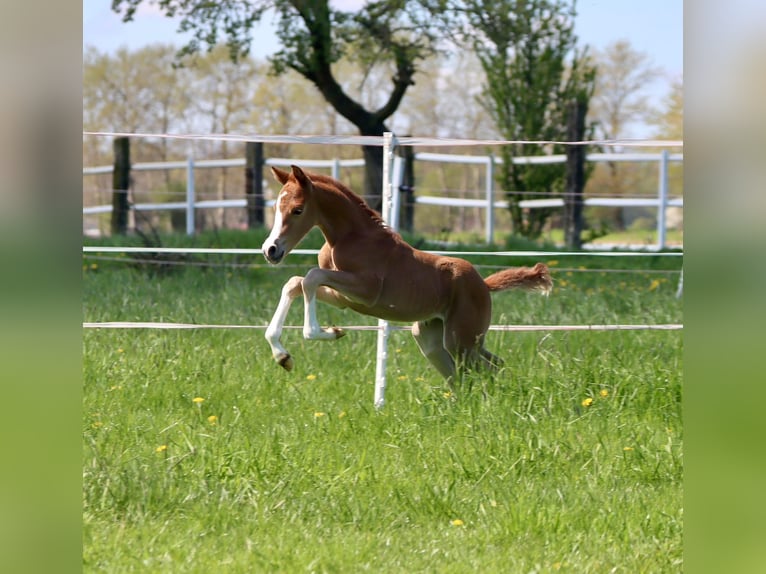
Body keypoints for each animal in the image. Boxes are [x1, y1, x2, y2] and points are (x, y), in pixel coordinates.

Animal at [261, 165, 552, 382]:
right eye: (276, 208)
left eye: (297, 210)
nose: (270, 250)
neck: (350, 238)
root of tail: (483, 284)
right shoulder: (343, 298)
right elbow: (295, 283)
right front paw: (283, 356)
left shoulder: (367, 290)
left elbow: (311, 276)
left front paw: (324, 333)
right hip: (434, 341)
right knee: (474, 372)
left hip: (461, 341)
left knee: (488, 369)